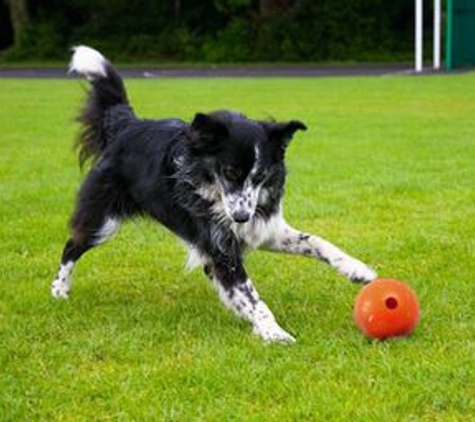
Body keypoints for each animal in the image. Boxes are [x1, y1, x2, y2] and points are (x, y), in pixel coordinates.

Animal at [52, 47, 378, 342]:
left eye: (259, 176)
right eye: (230, 172)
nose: (241, 217)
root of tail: (126, 125)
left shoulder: (264, 228)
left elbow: (317, 242)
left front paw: (357, 269)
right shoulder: (220, 248)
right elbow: (251, 296)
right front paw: (273, 332)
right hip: (103, 220)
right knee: (72, 245)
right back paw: (59, 290)